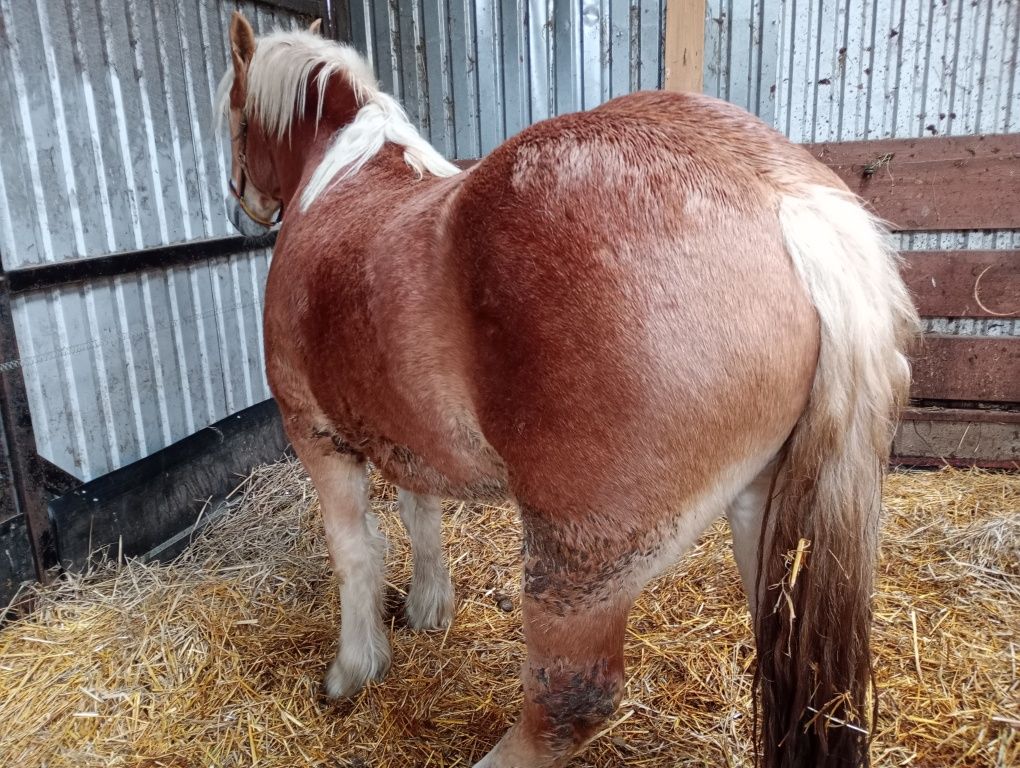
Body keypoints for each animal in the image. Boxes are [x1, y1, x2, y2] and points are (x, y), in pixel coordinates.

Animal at [215, 13, 918, 766]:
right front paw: (429, 608)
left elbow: (355, 554)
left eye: (234, 113)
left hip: (580, 567)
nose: (241, 201)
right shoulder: (405, 434)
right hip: (772, 516)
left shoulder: (316, 435)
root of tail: (780, 201)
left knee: (566, 706)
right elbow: (420, 515)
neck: (342, 180)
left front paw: (354, 668)